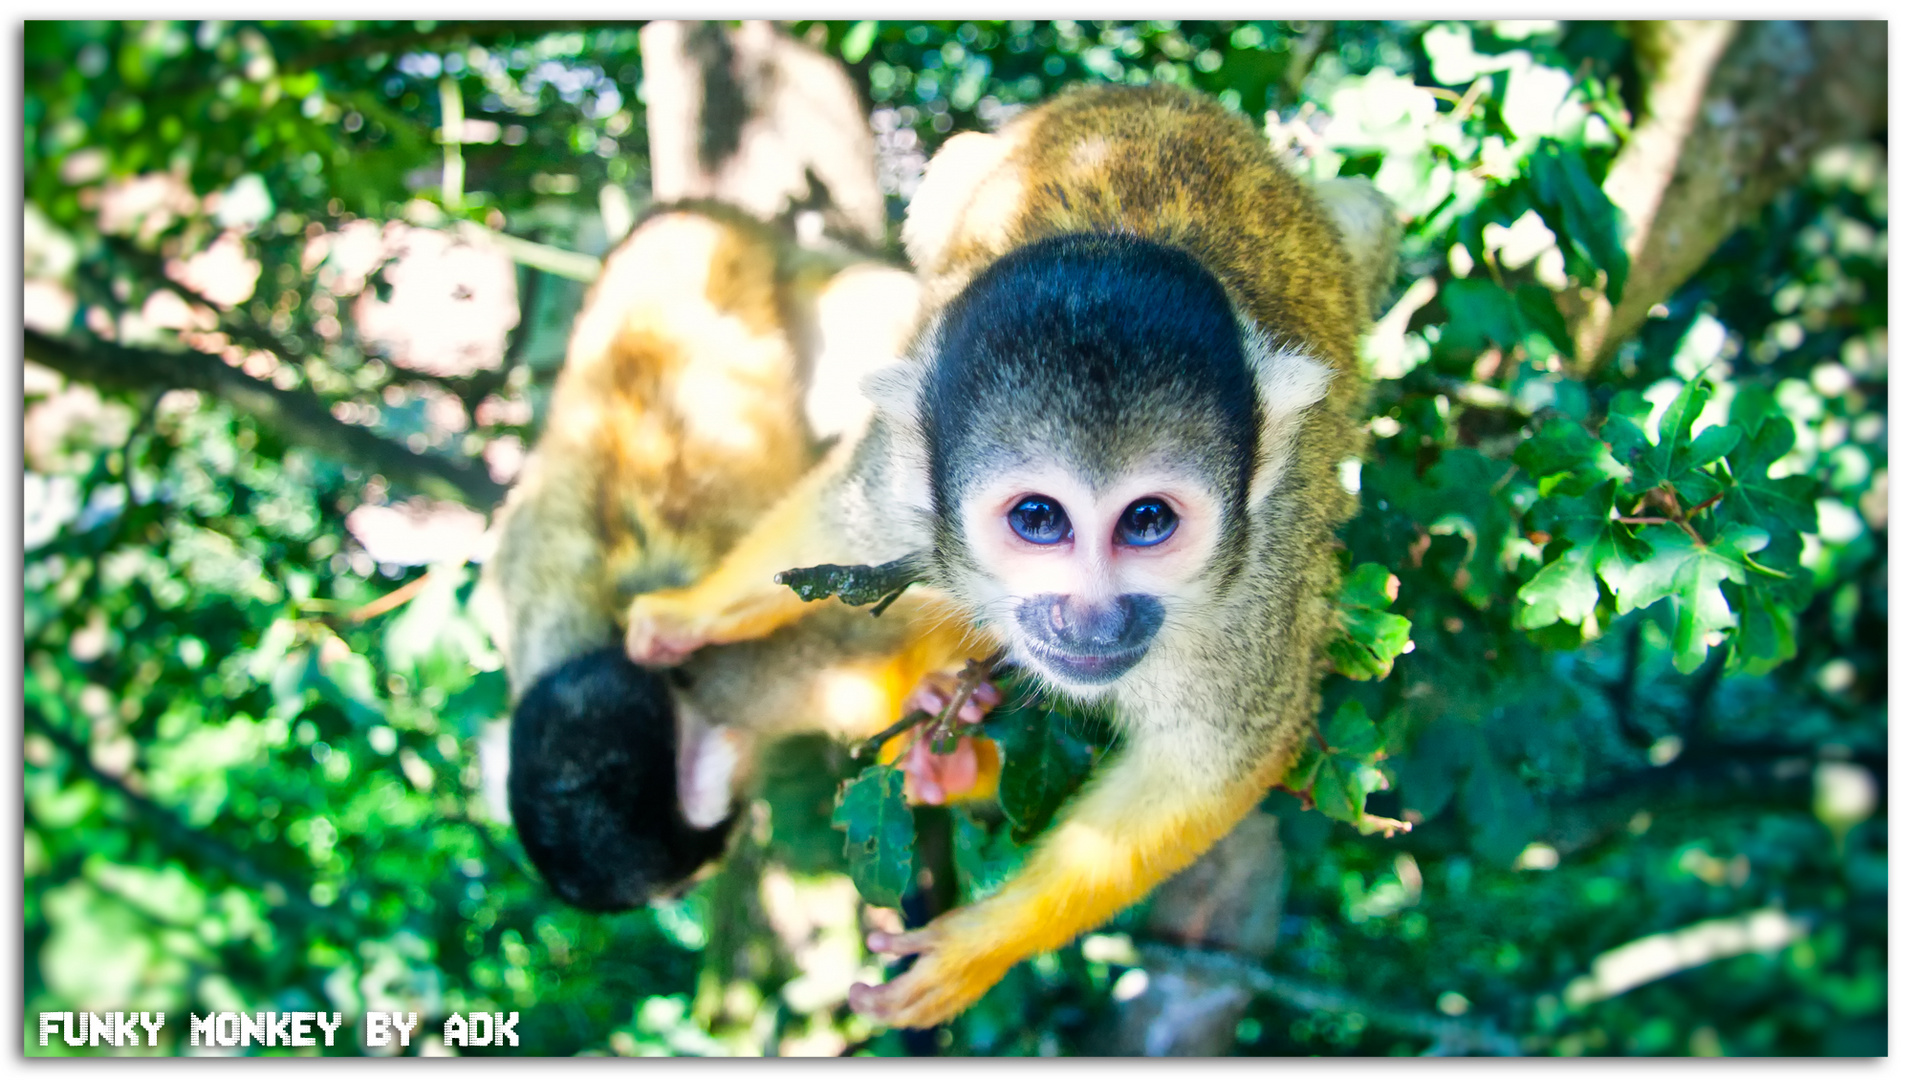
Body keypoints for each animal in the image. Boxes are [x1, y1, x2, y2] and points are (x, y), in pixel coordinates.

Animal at [478, 204, 994, 909]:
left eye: (689, 876)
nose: (688, 893)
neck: (604, 658)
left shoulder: (744, 682)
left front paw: (948, 702)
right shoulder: (517, 621)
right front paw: (934, 756)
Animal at [627, 86, 1407, 1024]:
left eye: (1148, 521)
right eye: (1038, 518)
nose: (1092, 618)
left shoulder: (1263, 572)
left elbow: (1212, 763)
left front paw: (976, 947)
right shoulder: (900, 487)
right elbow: (828, 528)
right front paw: (684, 614)